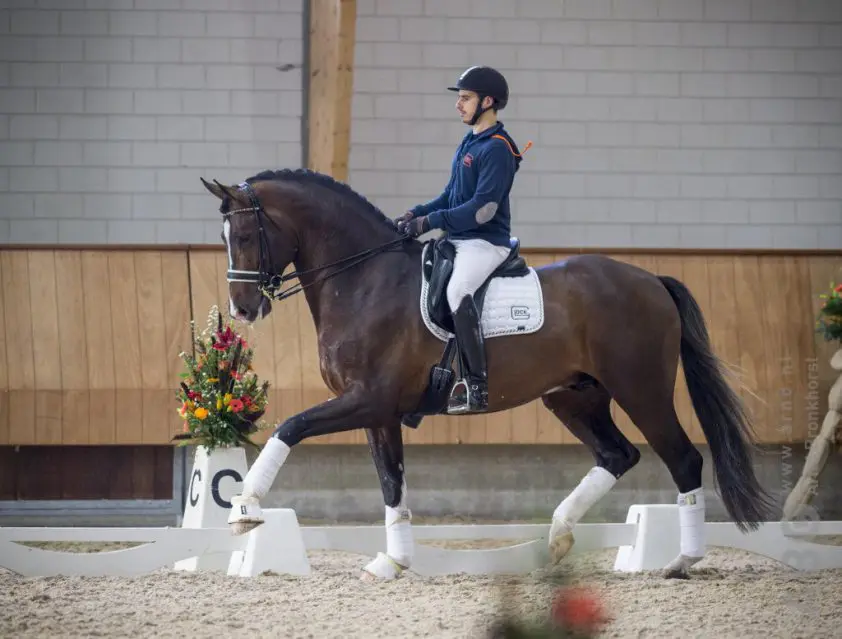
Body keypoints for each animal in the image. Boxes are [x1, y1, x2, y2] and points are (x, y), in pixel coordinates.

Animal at [200, 168, 777, 581]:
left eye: (246, 233)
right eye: (224, 236)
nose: (244, 309)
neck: (364, 280)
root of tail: (651, 280)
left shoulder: (368, 400)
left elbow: (289, 427)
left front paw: (245, 508)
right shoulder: (379, 412)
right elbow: (392, 484)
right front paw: (393, 562)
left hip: (642, 390)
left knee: (682, 460)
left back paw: (681, 562)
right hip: (574, 397)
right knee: (618, 455)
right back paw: (558, 539)